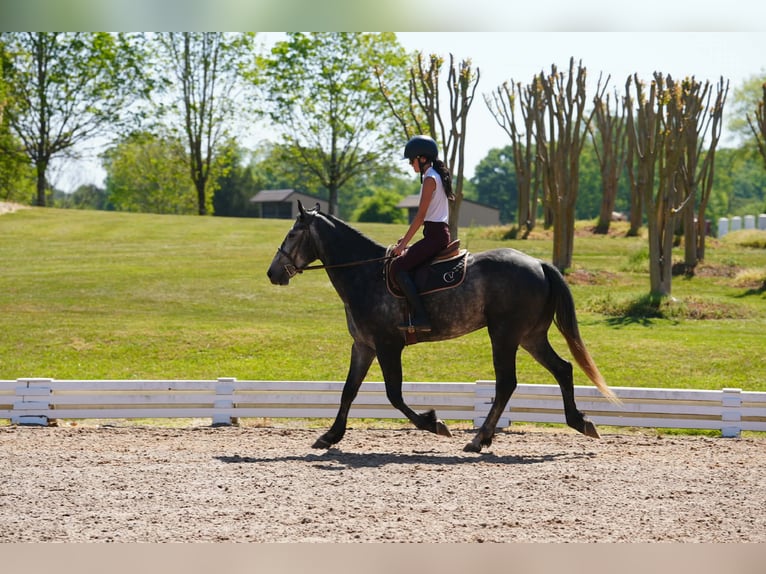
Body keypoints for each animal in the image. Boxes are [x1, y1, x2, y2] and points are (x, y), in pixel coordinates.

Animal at [267, 201, 618, 452]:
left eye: (292, 235)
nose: (273, 273)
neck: (364, 274)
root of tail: (540, 264)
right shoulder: (364, 346)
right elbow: (348, 390)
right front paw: (330, 436)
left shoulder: (387, 346)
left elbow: (394, 394)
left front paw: (434, 423)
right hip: (530, 336)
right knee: (562, 369)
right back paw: (579, 423)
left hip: (504, 335)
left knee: (507, 383)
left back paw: (479, 439)